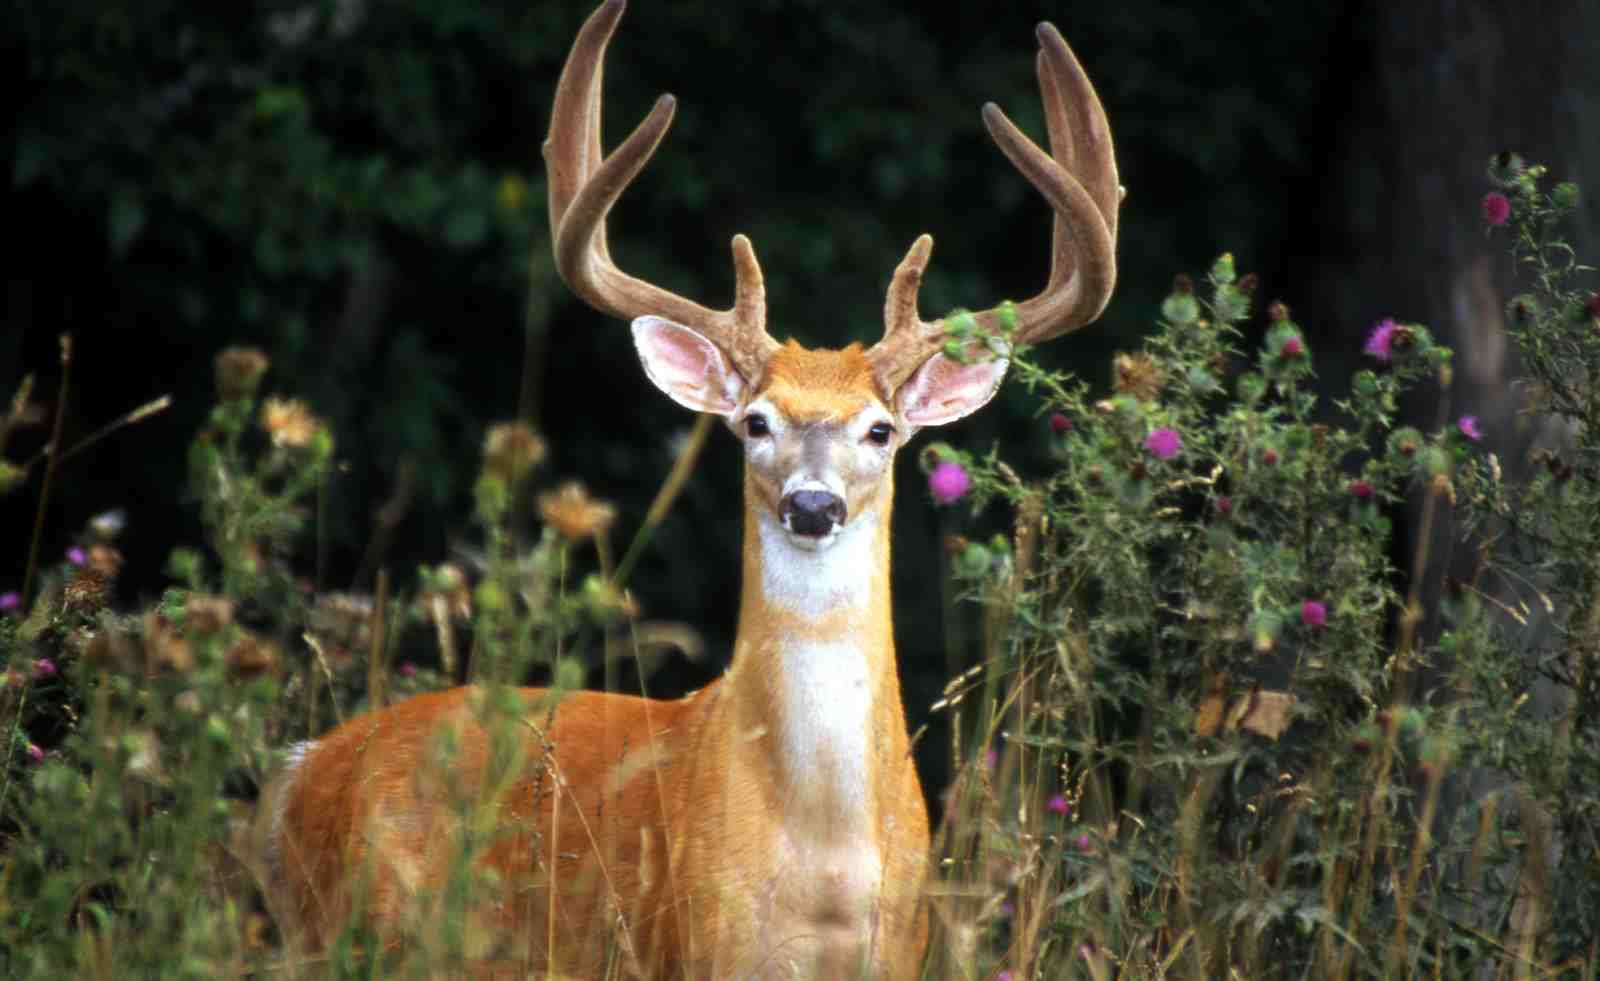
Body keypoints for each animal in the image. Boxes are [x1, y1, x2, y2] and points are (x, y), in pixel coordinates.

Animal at [254, 1, 1118, 977]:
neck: (823, 862)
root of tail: (297, 772)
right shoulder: (696, 939)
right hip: (367, 930)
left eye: (881, 430)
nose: (812, 505)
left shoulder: (903, 946)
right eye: (755, 423)